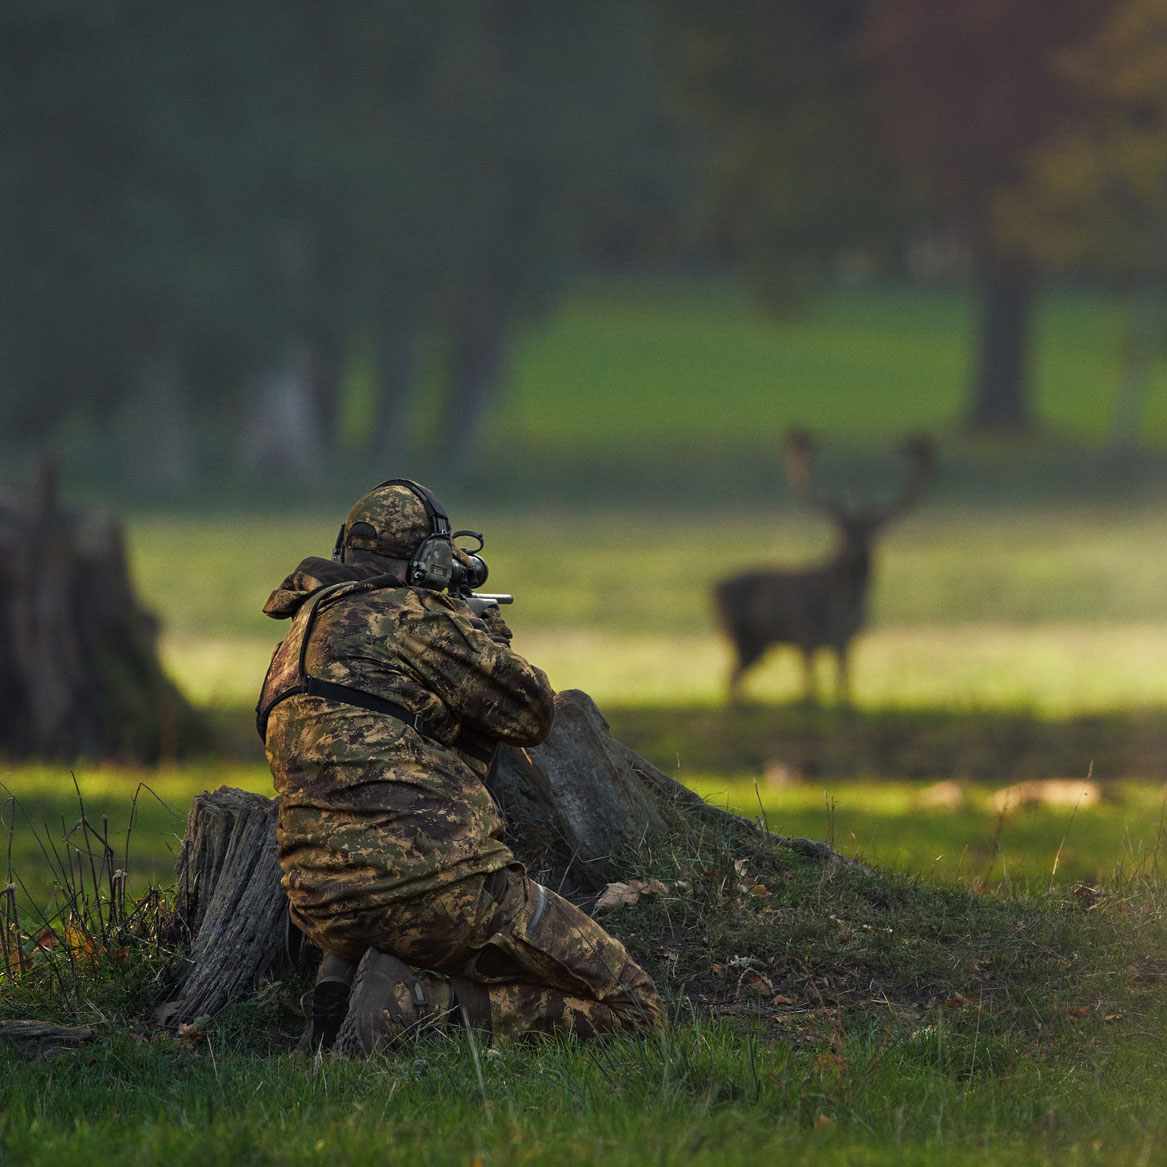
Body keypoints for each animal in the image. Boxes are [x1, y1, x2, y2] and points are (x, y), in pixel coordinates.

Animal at [713, 430, 935, 703]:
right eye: (841, 529)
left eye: (872, 530)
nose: (855, 553)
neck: (841, 608)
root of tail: (712, 587)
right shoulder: (805, 635)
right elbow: (811, 688)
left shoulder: (848, 640)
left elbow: (843, 686)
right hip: (740, 637)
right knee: (731, 678)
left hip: (758, 644)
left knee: (733, 677)